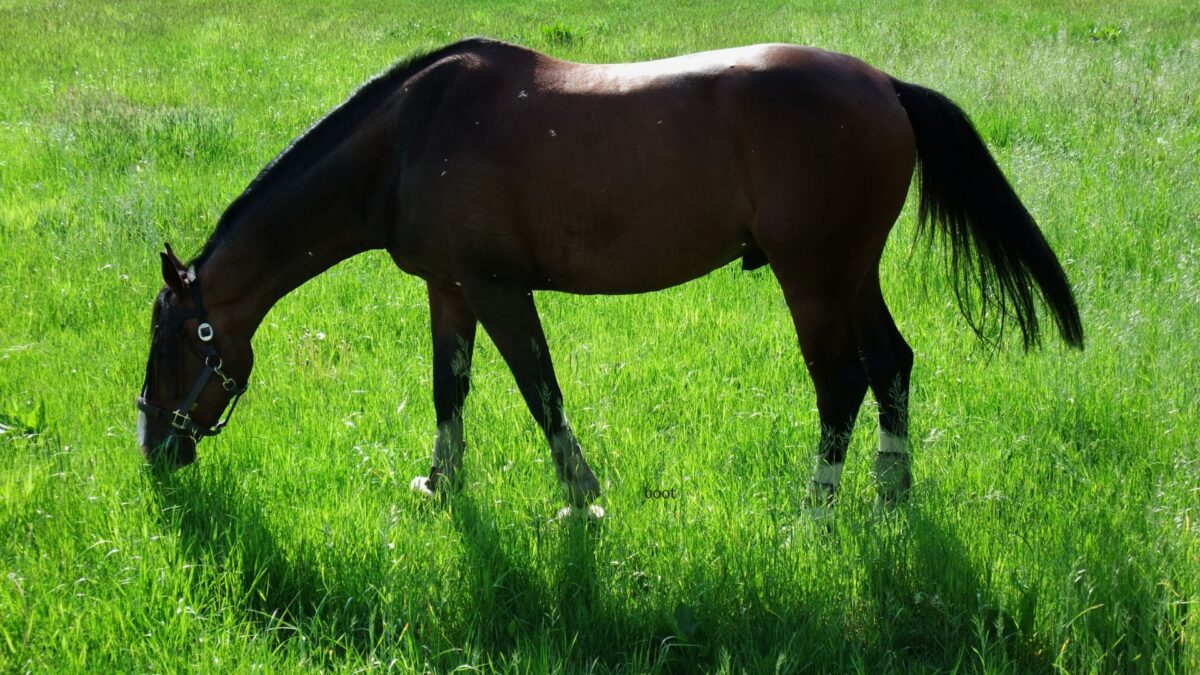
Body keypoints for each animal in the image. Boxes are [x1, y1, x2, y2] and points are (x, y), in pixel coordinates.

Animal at [137, 38, 1083, 519]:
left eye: (178, 340)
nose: (153, 448)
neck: (410, 136)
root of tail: (885, 84)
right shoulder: (449, 290)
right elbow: (450, 388)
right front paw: (441, 485)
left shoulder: (497, 287)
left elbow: (539, 390)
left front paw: (580, 498)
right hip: (851, 271)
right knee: (891, 363)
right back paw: (891, 494)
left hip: (813, 277)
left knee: (842, 380)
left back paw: (815, 511)